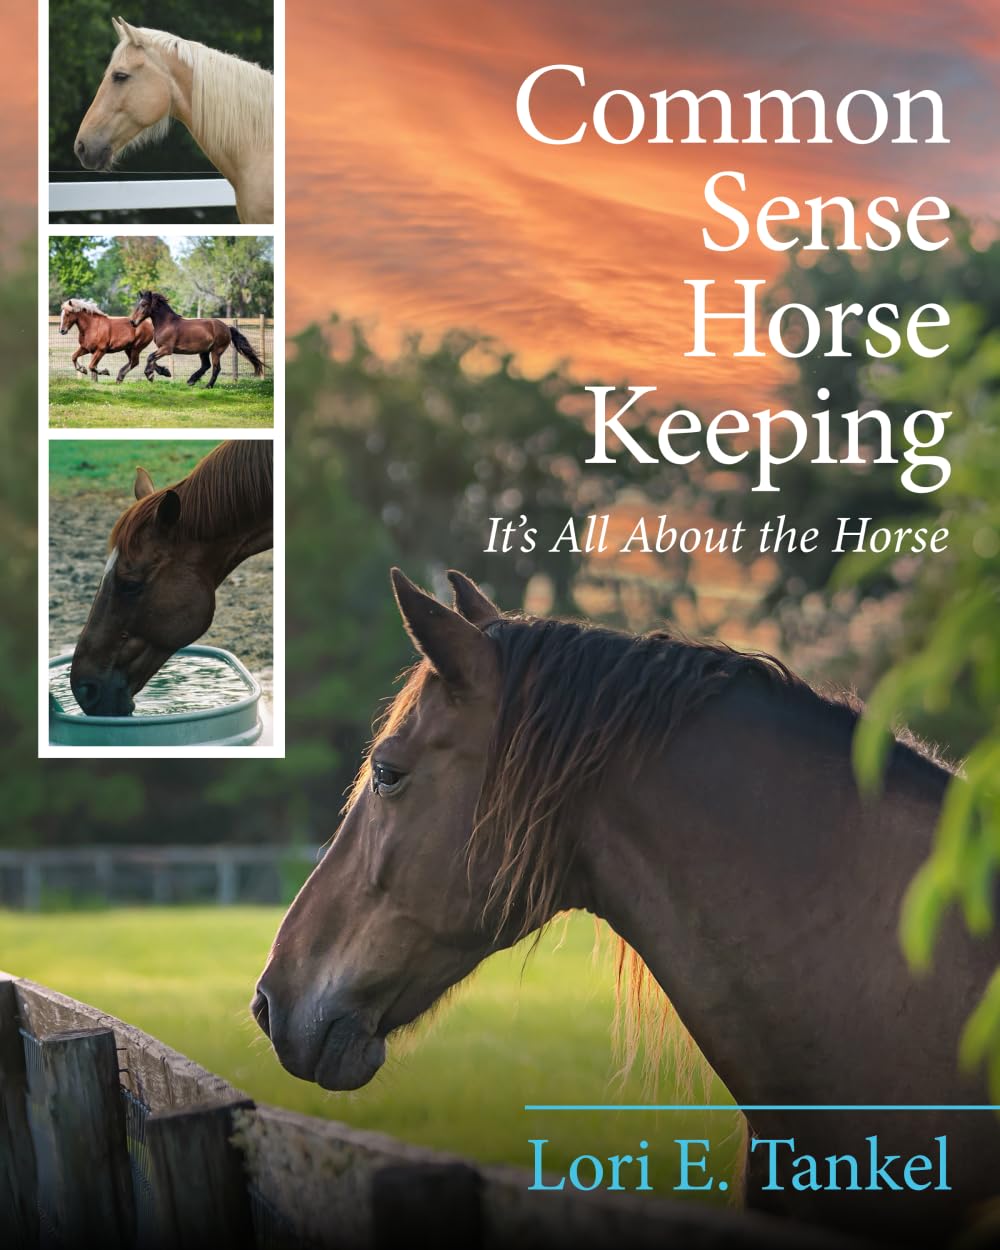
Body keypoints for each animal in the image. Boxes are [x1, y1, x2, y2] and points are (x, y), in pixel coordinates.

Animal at [129, 291, 265, 388]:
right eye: (137, 304)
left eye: (144, 304)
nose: (132, 322)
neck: (166, 323)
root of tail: (227, 327)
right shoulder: (162, 349)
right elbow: (152, 360)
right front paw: (165, 372)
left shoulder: (167, 349)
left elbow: (150, 357)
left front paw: (150, 374)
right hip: (204, 351)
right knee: (206, 365)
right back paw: (191, 380)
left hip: (216, 351)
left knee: (216, 368)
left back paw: (207, 386)